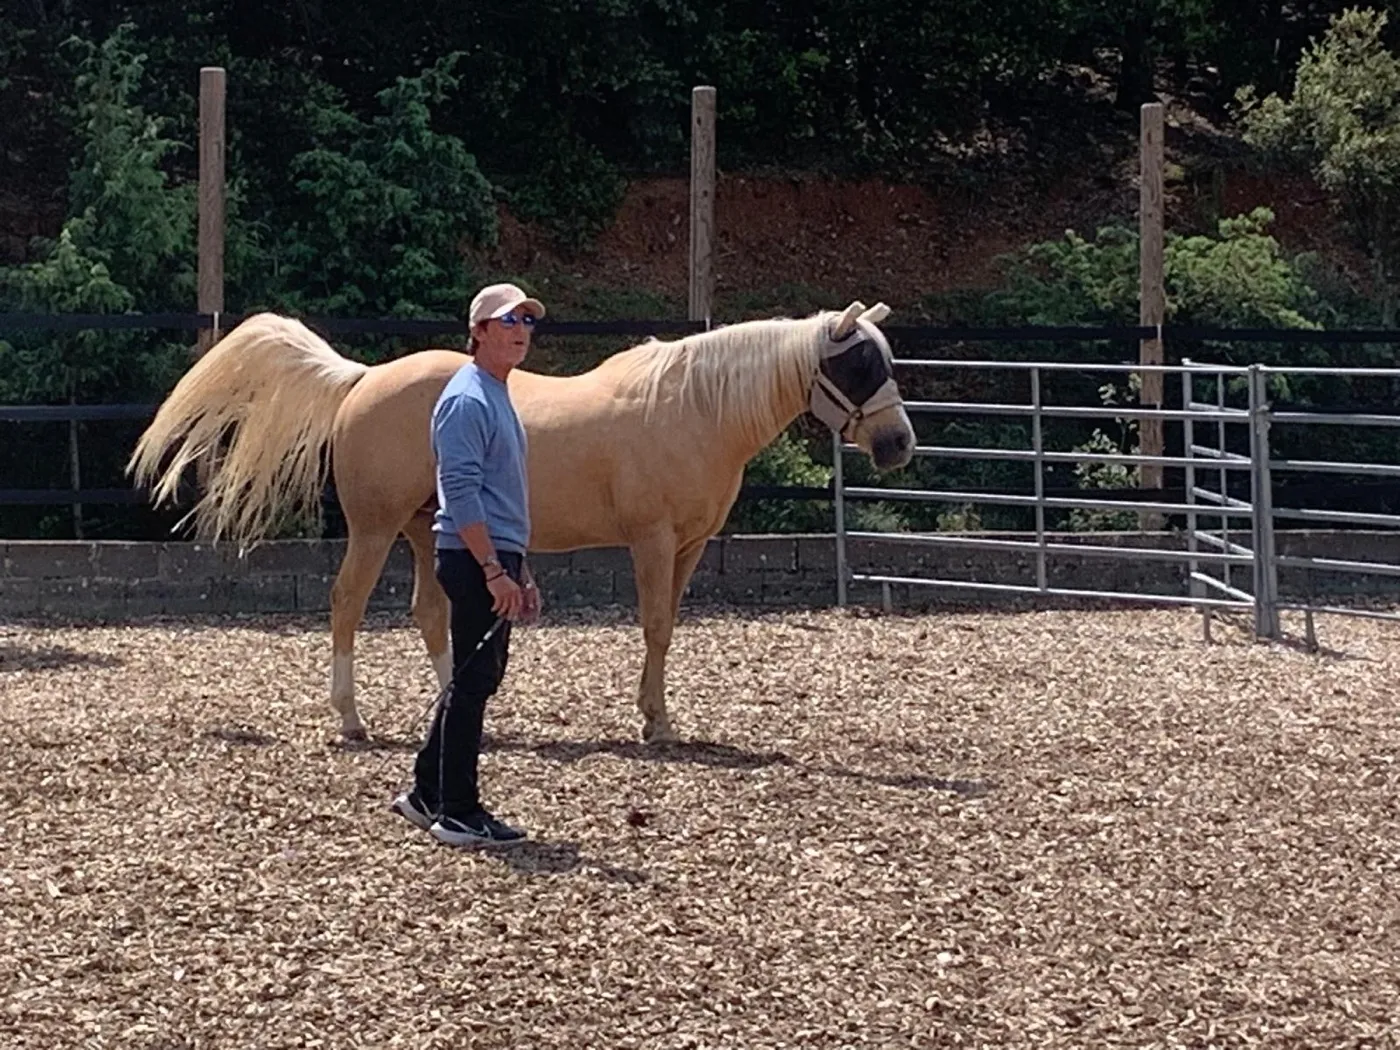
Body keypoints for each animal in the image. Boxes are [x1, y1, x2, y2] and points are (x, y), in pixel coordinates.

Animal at [128, 300, 916, 744]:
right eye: (857, 365)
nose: (899, 444)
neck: (695, 408)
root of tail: (363, 377)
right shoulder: (654, 541)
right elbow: (656, 625)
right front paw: (657, 725)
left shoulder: (691, 546)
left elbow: (667, 629)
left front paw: (655, 714)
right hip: (377, 528)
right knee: (347, 604)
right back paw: (350, 719)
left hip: (425, 531)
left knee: (429, 614)